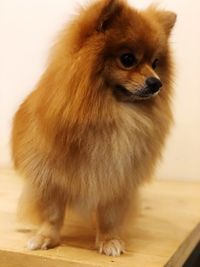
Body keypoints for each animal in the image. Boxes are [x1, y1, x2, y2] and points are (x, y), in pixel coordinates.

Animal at [11, 0, 176, 256]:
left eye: (155, 63)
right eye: (127, 59)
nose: (156, 82)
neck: (111, 113)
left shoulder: (116, 178)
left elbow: (109, 216)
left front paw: (109, 240)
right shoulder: (48, 176)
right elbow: (52, 214)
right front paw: (46, 237)